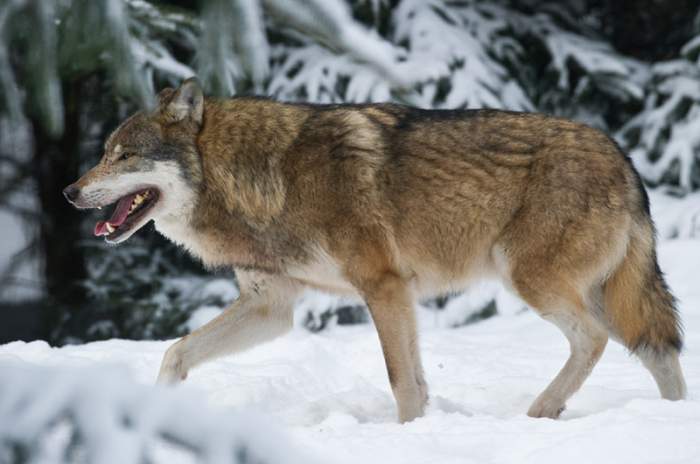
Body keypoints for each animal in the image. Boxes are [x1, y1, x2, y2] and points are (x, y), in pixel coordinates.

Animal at [63, 78, 688, 422]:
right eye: (104, 153)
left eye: (124, 156)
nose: (70, 192)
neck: (262, 177)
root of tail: (623, 158)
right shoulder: (273, 306)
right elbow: (176, 352)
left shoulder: (383, 286)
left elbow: (403, 382)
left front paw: (410, 434)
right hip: (602, 292)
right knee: (658, 352)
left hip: (532, 281)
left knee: (596, 340)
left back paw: (542, 410)